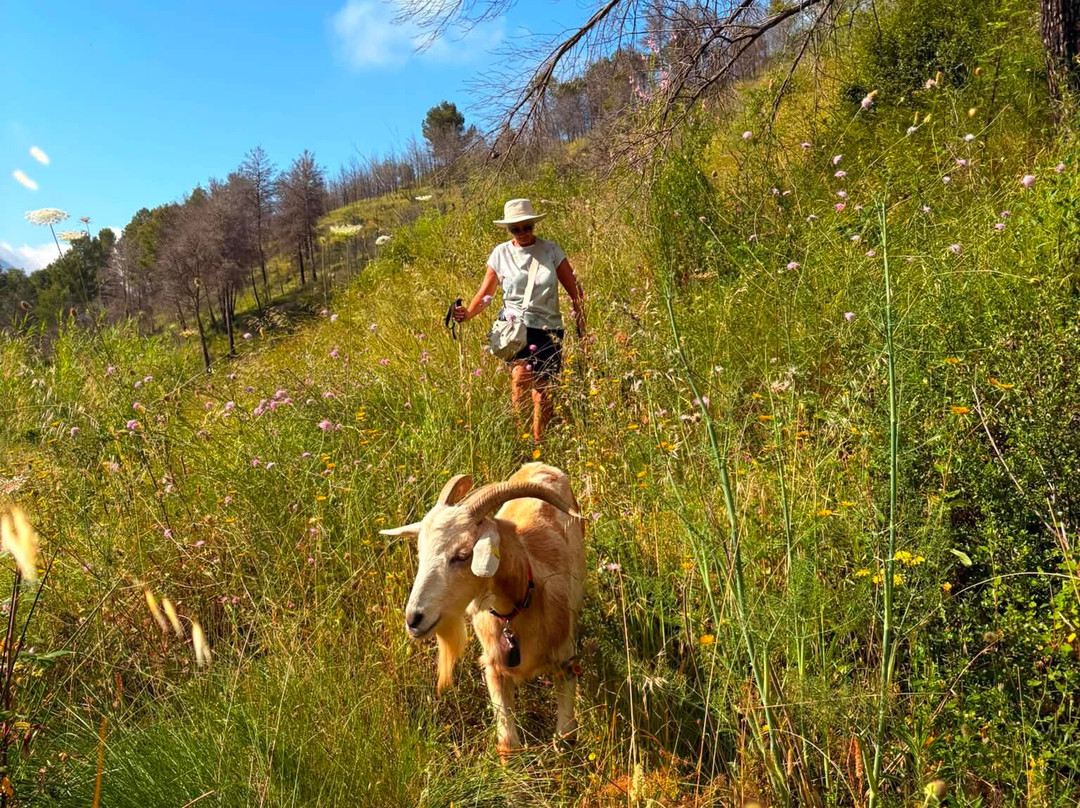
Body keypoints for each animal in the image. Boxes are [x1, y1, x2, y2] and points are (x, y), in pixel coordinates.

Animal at [380, 462, 585, 757]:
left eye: (463, 555)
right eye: (420, 552)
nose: (414, 619)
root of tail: (537, 464)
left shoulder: (565, 663)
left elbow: (565, 738)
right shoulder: (493, 668)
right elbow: (508, 743)